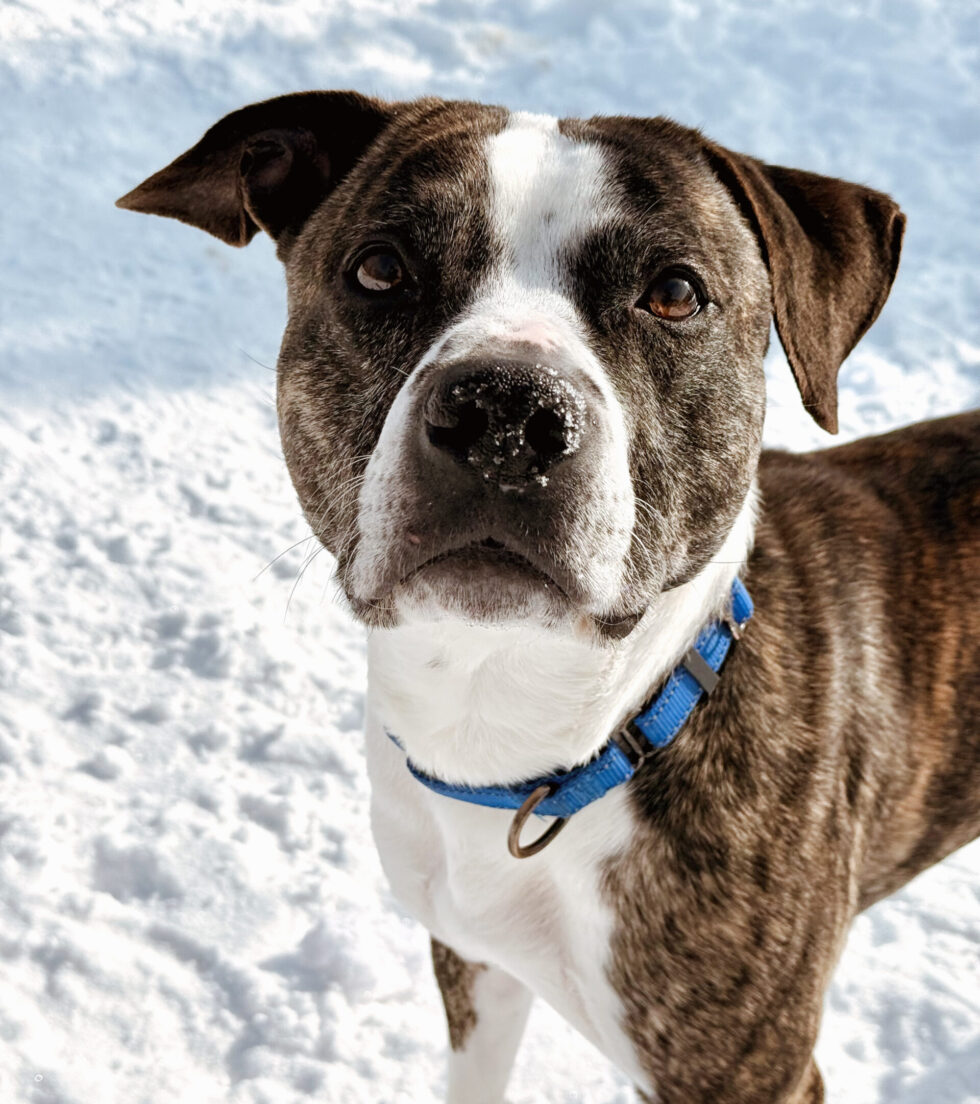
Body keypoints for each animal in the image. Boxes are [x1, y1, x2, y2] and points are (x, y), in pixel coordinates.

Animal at [118, 92, 979, 1103]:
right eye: (380, 267)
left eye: (675, 292)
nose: (505, 412)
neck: (522, 741)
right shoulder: (472, 964)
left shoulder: (747, 1074)